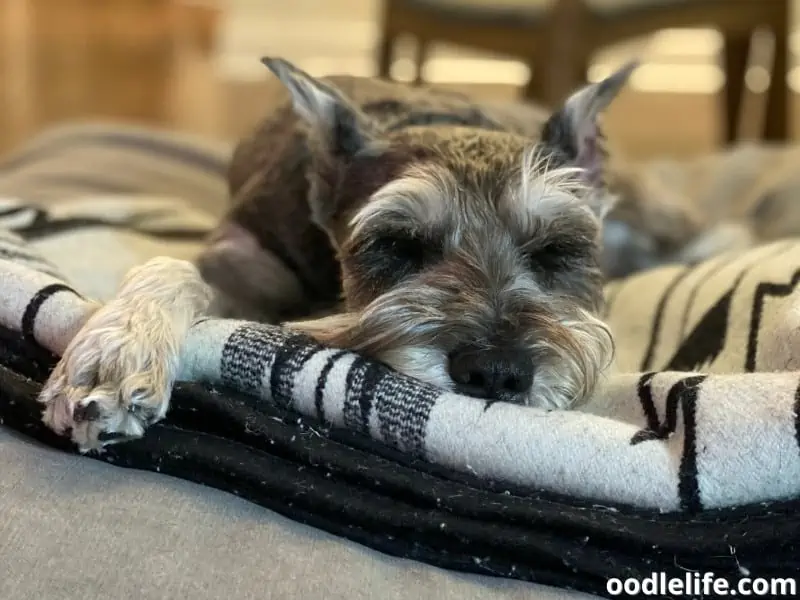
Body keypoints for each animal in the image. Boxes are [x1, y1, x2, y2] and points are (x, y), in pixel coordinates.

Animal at [39, 57, 636, 450]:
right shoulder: (239, 252)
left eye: (557, 250)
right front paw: (120, 349)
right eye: (397, 245)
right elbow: (178, 268)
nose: (495, 373)